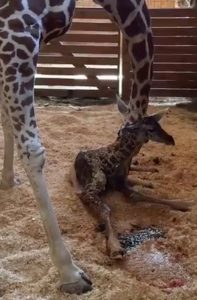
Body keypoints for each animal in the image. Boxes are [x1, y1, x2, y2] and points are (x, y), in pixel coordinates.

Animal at [0, 0, 153, 296]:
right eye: (133, 145)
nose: (120, 183)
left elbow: (5, 120)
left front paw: (8, 180)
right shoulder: (17, 33)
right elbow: (32, 151)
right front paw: (70, 272)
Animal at [70, 110, 191, 258]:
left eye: (160, 125)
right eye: (151, 129)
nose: (171, 139)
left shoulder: (120, 183)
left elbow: (139, 195)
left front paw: (185, 204)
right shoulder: (91, 190)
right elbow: (107, 209)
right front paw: (115, 247)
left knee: (134, 170)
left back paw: (151, 175)